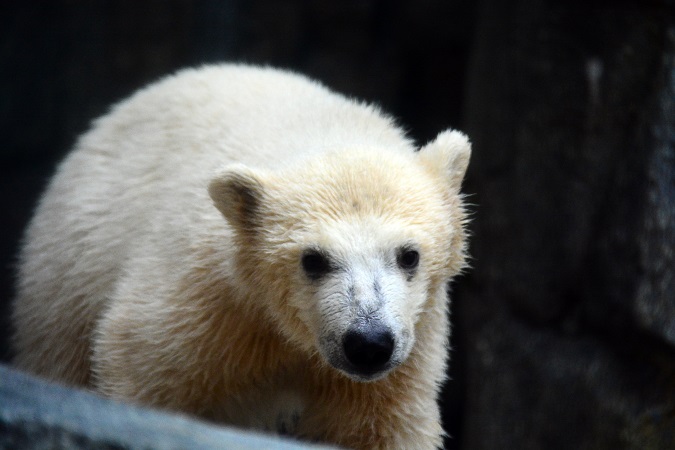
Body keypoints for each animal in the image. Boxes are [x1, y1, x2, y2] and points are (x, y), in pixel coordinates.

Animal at [13, 64, 472, 450]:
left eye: (409, 255)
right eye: (313, 259)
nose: (368, 343)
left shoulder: (413, 340)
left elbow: (378, 425)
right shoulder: (209, 299)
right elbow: (143, 368)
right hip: (70, 274)